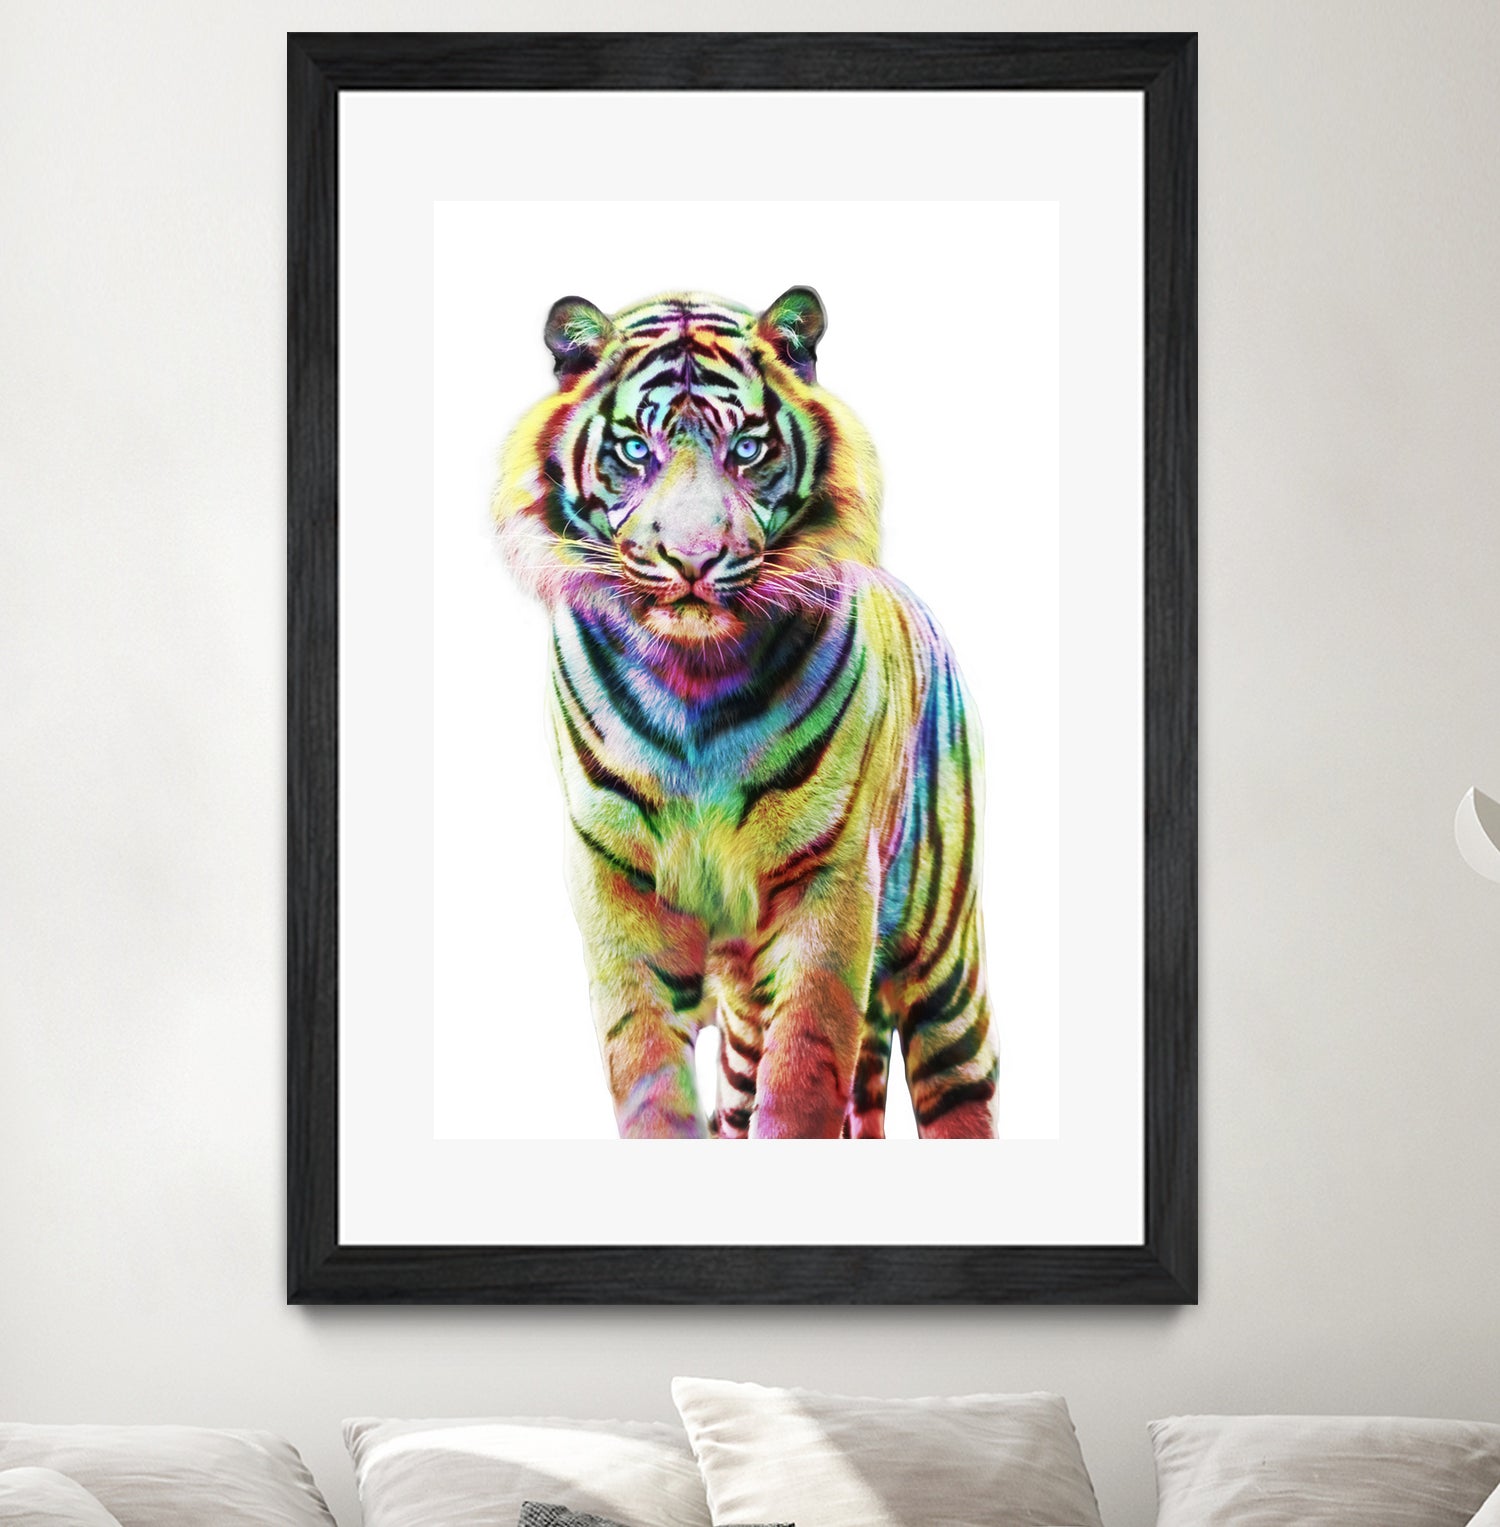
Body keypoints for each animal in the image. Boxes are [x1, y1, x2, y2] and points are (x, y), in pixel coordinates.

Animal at [492, 286, 997, 1140]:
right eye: (635, 451)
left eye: (749, 449)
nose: (693, 560)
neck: (692, 682)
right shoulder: (614, 878)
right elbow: (646, 1069)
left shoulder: (829, 881)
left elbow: (803, 1076)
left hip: (944, 968)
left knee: (960, 1088)